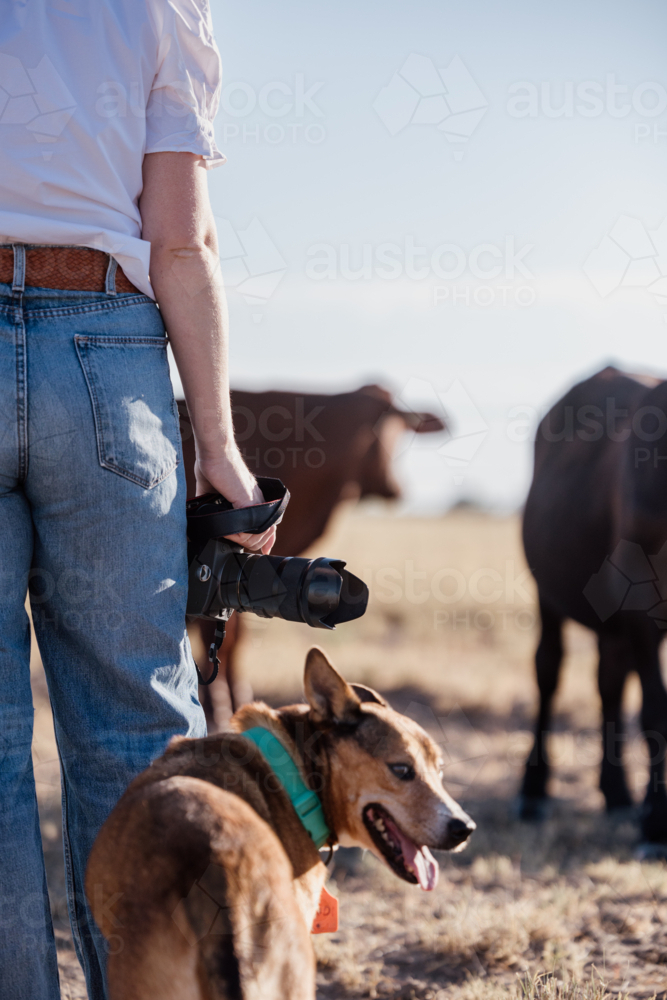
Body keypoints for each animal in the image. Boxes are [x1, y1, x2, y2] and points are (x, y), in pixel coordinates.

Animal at [180, 386, 446, 732]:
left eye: (402, 427)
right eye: (373, 428)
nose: (395, 488)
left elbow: (233, 639)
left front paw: (234, 702)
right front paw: (222, 708)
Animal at [524, 366, 667, 844]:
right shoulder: (643, 606)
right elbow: (656, 711)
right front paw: (656, 825)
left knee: (609, 682)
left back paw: (617, 791)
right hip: (546, 592)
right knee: (547, 670)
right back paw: (532, 790)